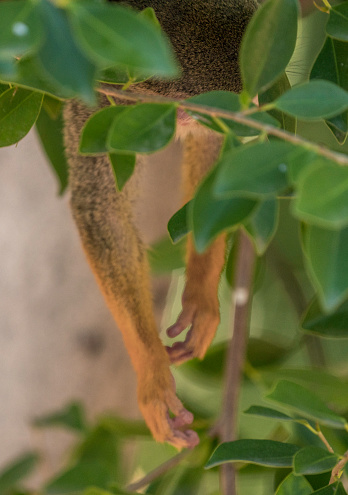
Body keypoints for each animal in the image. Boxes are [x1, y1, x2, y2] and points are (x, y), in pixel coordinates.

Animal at [64, 0, 256, 450]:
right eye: (187, 108)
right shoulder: (100, 96)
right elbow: (101, 211)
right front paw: (152, 375)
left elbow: (217, 156)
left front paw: (201, 297)